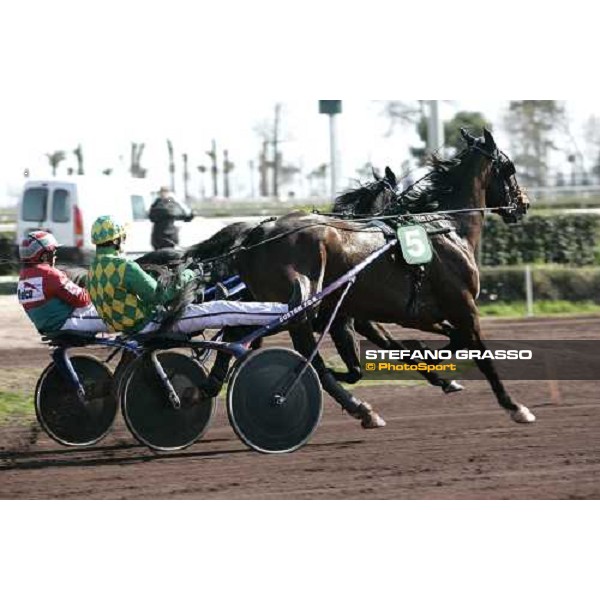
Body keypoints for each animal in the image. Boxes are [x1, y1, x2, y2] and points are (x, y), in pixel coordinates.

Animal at [192, 127, 536, 426]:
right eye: (508, 167)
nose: (523, 203)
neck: (447, 227)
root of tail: (257, 233)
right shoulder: (461, 306)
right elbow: (478, 352)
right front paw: (514, 406)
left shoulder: (405, 314)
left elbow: (436, 342)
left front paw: (435, 368)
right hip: (300, 306)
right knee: (305, 357)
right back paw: (358, 408)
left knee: (236, 334)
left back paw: (208, 386)